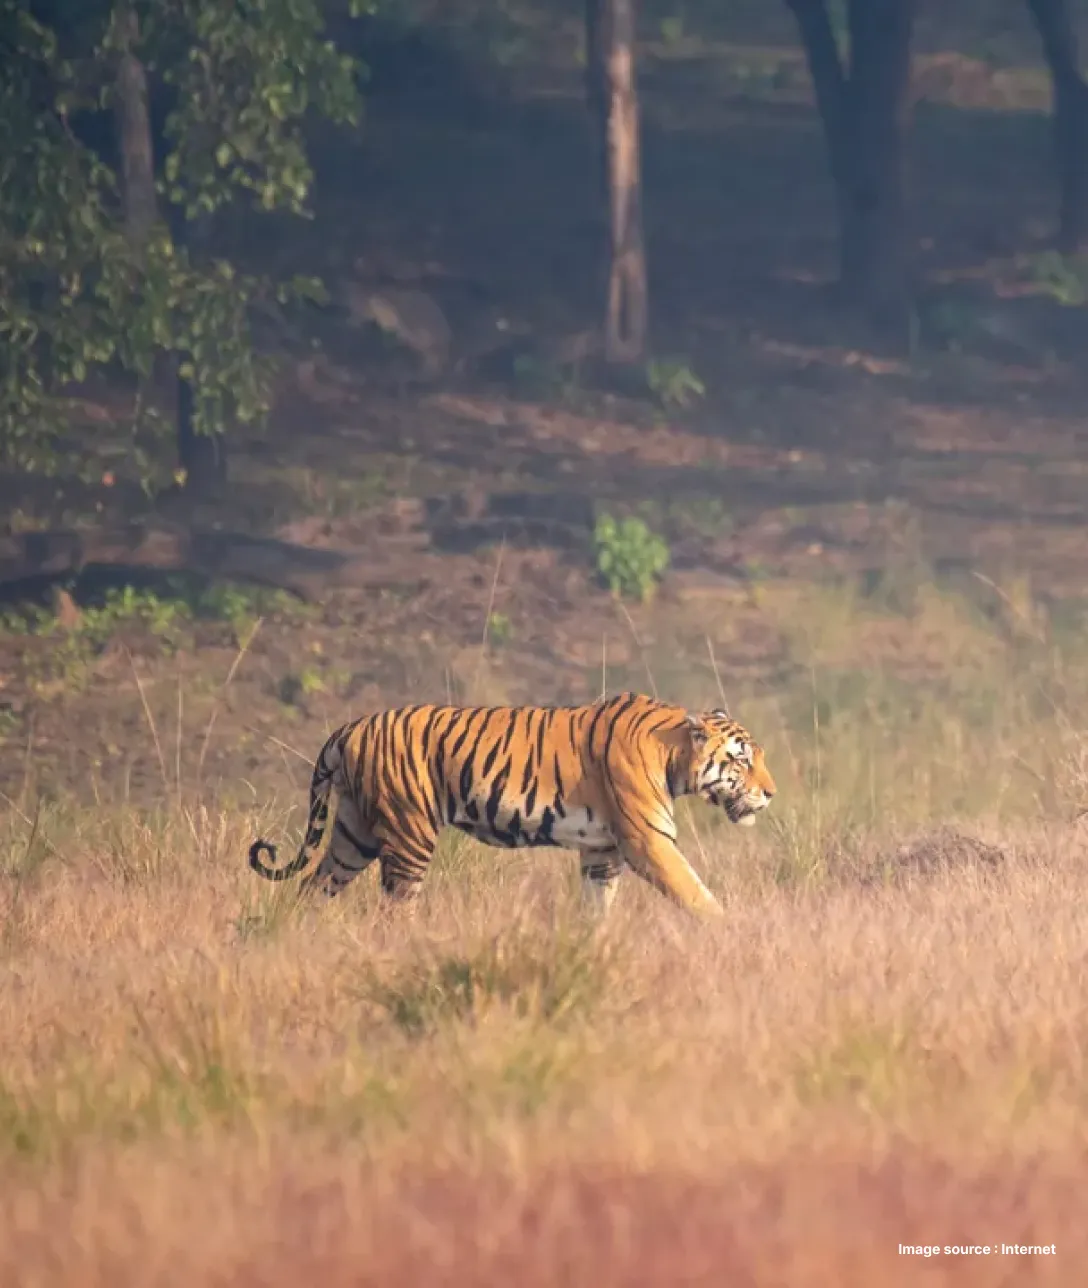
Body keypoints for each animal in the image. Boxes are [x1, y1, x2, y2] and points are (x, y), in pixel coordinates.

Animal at [247, 691, 776, 918]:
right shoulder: (648, 840)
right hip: (409, 834)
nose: (771, 792)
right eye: (742, 760)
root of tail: (349, 728)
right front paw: (730, 932)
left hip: (352, 837)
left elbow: (596, 911)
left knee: (311, 890)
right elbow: (696, 894)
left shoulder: (601, 852)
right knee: (393, 909)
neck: (673, 756)